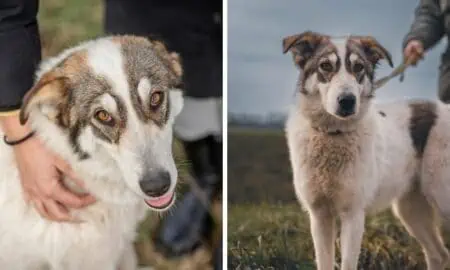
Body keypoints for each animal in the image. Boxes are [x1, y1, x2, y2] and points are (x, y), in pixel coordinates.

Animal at [284, 31, 450, 270]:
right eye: (325, 65)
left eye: (358, 67)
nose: (347, 101)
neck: (333, 133)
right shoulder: (320, 216)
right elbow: (324, 262)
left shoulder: (353, 215)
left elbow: (348, 263)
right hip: (411, 210)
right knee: (439, 254)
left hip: (441, 196)